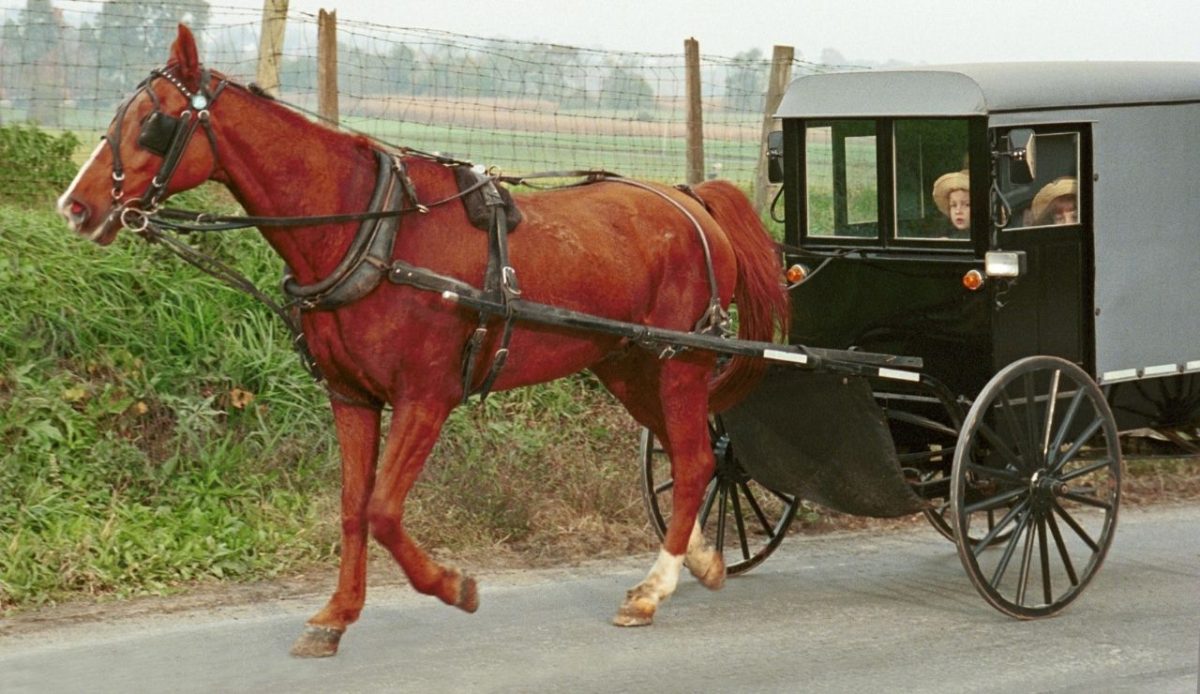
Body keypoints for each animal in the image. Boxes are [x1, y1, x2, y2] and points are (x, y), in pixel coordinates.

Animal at [57, 24, 789, 658]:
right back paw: (701, 559)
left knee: (692, 459)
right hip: (628, 363)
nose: (75, 206)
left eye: (152, 122)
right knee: (689, 456)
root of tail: (691, 197)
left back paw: (652, 589)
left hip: (680, 362)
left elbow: (383, 510)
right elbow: (352, 509)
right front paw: (334, 617)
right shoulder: (352, 398)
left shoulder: (426, 398)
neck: (372, 229)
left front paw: (453, 586)